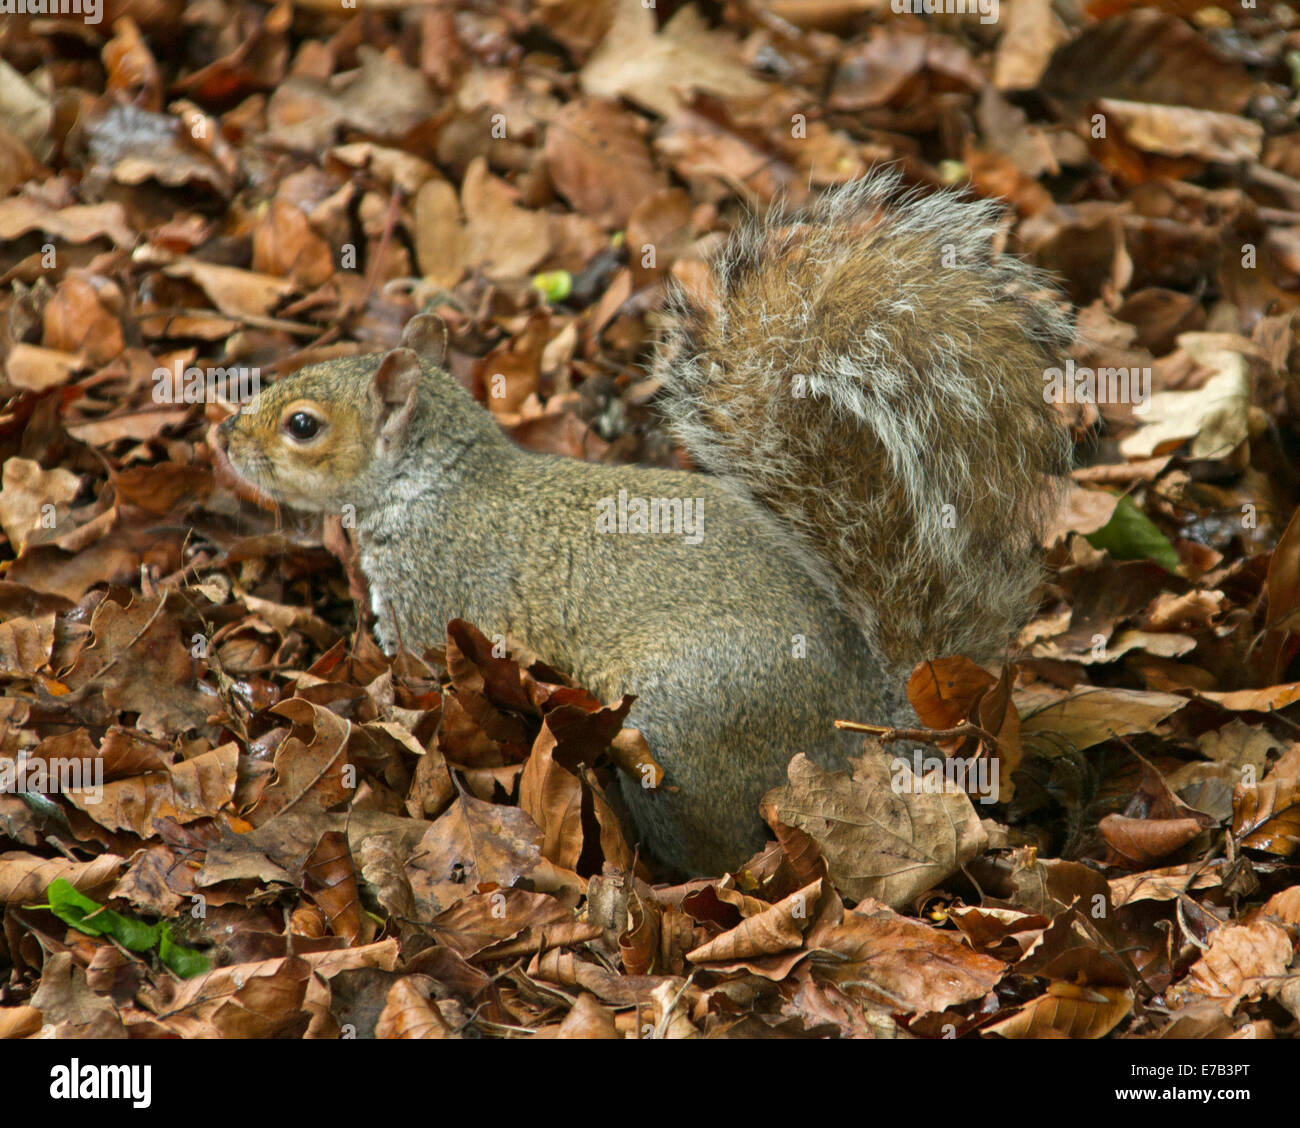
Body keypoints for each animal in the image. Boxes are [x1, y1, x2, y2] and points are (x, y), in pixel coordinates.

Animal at [208, 170, 1071, 873]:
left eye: (304, 426)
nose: (223, 439)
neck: (432, 485)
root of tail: (861, 719)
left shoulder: (433, 615)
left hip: (684, 722)